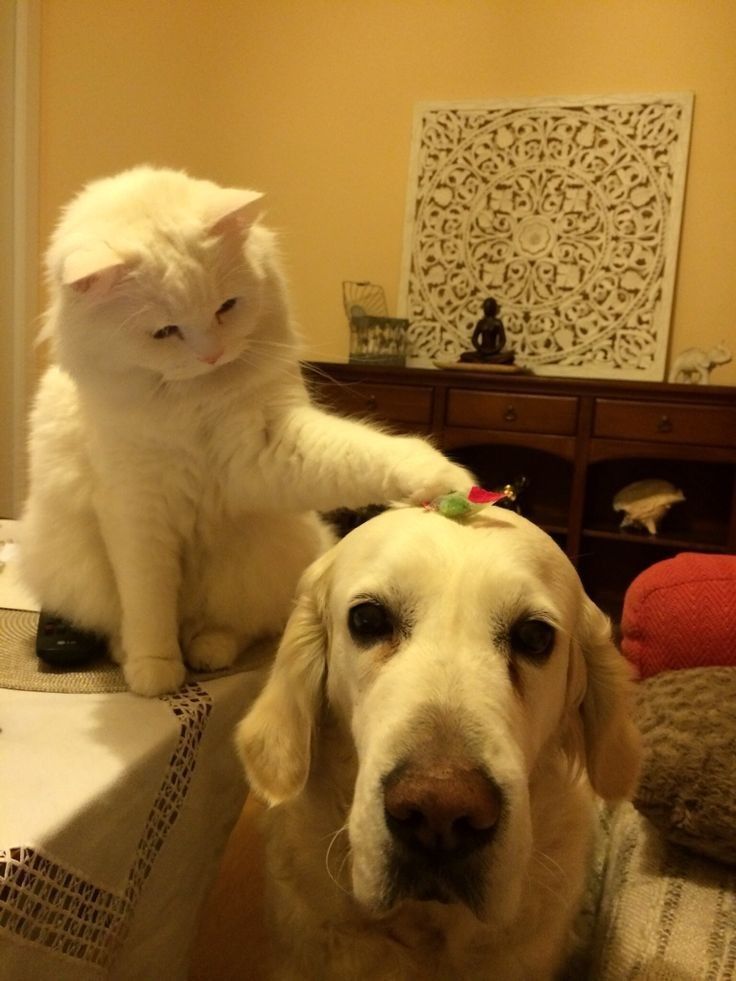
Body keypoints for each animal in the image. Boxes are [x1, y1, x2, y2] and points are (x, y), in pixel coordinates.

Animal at [21, 165, 472, 692]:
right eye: (165, 332)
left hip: (253, 562)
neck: (193, 403)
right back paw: (131, 652)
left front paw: (448, 481)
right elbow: (148, 602)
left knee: (232, 626)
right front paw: (155, 671)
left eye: (227, 307)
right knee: (130, 619)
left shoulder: (266, 448)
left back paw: (208, 650)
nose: (212, 355)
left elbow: (371, 453)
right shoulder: (137, 512)